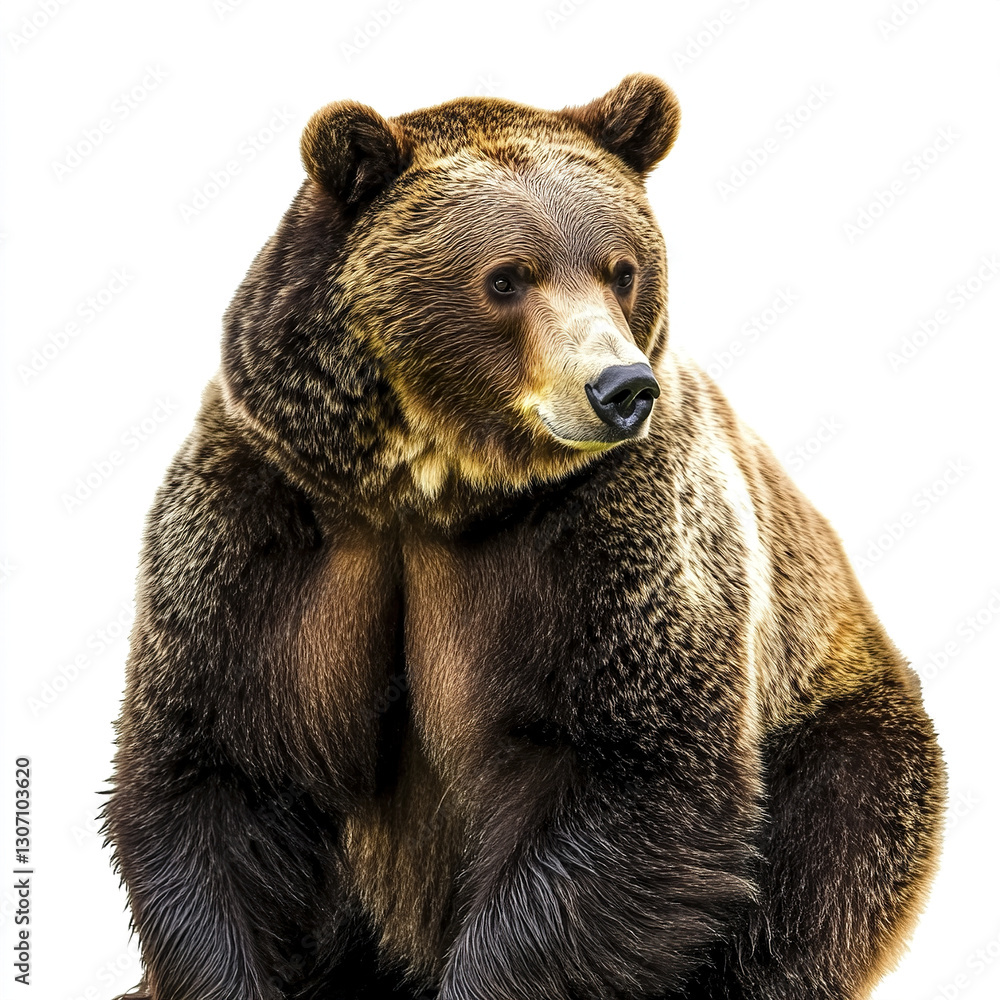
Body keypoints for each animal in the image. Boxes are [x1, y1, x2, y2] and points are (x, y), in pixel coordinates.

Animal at [104, 74, 946, 1000]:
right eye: (507, 277)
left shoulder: (616, 541)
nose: (622, 387)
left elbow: (627, 771)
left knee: (819, 864)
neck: (432, 489)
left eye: (622, 270)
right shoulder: (268, 521)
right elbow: (219, 766)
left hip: (840, 736)